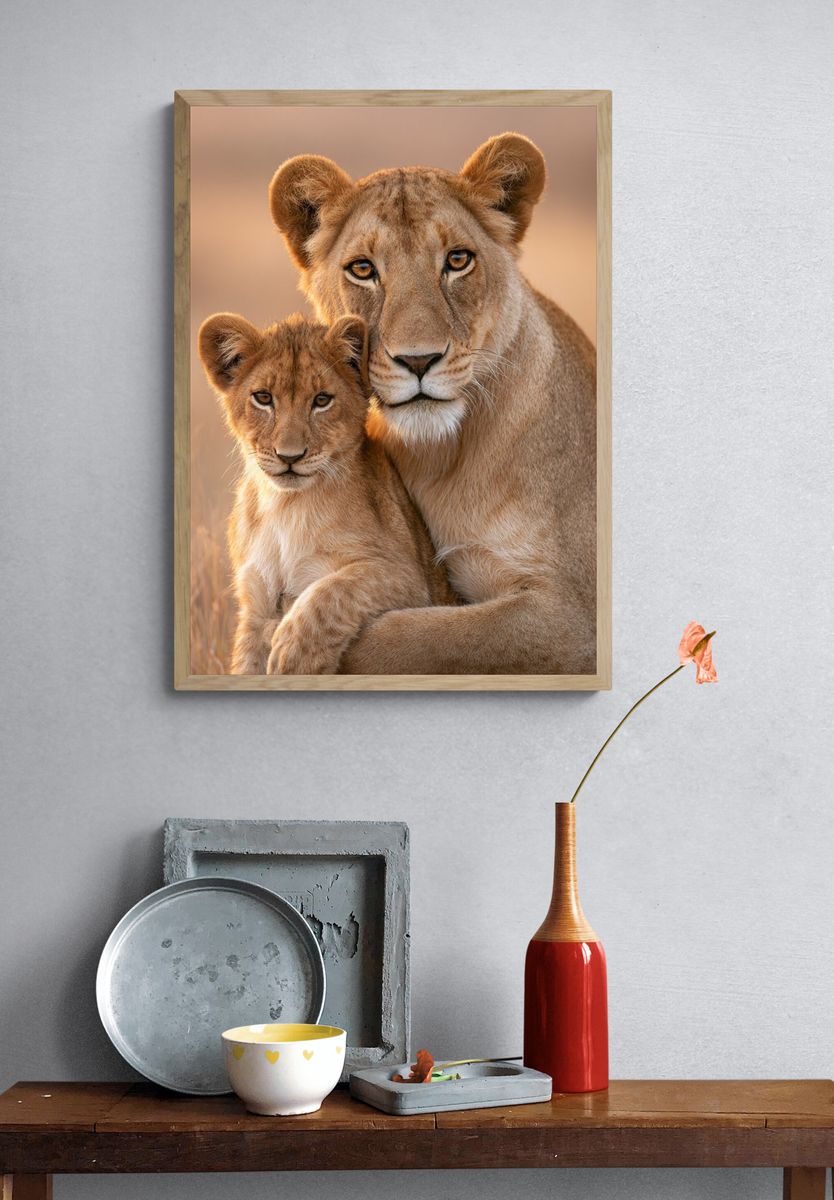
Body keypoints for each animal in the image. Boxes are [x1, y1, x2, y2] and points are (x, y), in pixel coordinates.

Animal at [198, 311, 452, 675]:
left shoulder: (407, 576)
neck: (284, 506)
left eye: (321, 400)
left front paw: (293, 655)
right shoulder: (255, 606)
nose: (289, 457)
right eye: (263, 398)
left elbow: (333, 591)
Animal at [268, 133, 597, 675]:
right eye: (363, 269)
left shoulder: (577, 620)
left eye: (458, 260)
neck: (444, 459)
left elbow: (422, 636)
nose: (418, 360)